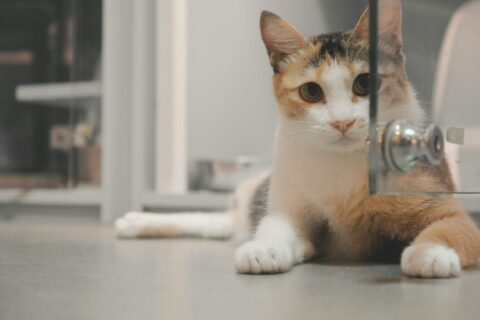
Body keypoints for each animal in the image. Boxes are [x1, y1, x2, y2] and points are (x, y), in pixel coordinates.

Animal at [116, 0, 480, 278]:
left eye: (365, 83)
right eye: (311, 92)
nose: (342, 121)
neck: (342, 165)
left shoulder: (447, 207)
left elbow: (450, 228)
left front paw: (430, 254)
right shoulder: (290, 210)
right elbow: (277, 227)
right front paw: (264, 249)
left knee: (215, 223)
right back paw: (136, 221)